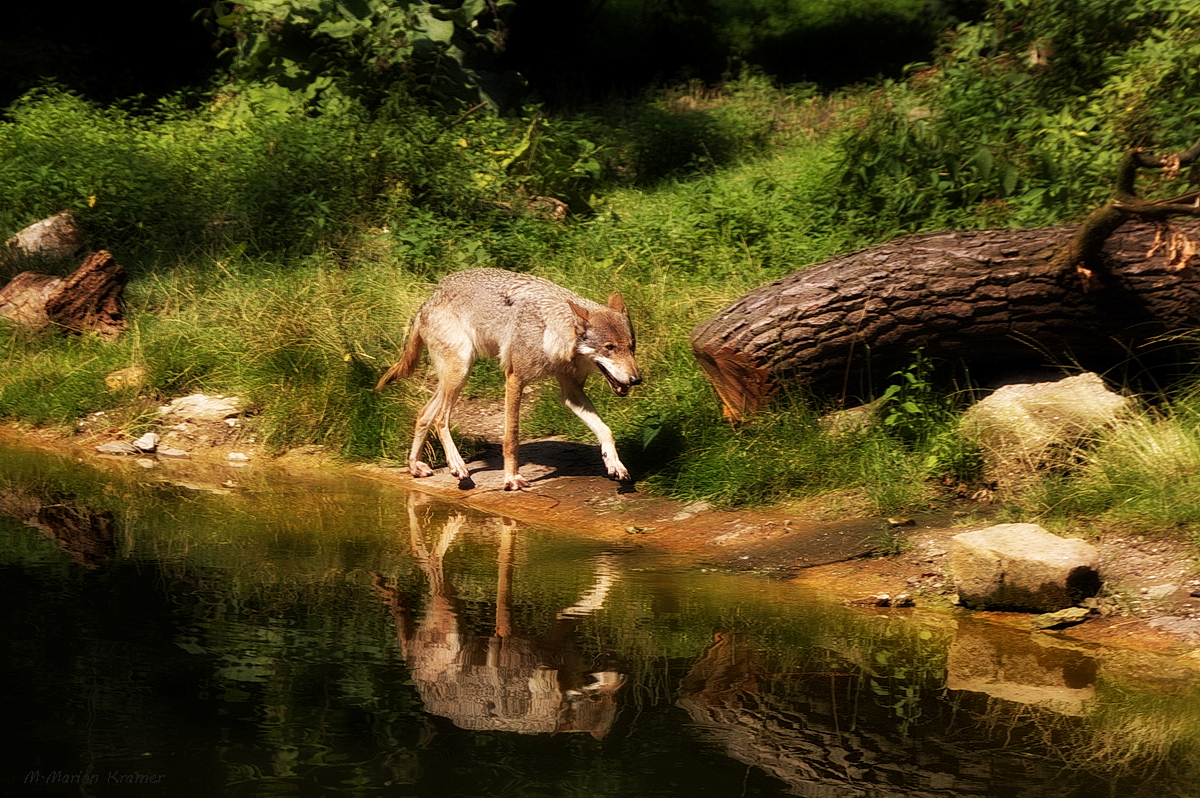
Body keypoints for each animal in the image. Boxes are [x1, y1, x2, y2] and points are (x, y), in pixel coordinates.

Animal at [376, 271, 643, 489]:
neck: (549, 330)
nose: (636, 379)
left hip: (455, 376)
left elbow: (605, 430)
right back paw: (457, 466)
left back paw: (415, 466)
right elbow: (512, 437)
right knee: (441, 418)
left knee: (424, 414)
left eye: (631, 347)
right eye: (609, 348)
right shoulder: (514, 379)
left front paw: (615, 465)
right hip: (461, 369)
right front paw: (511, 478)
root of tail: (430, 298)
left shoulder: (571, 392)